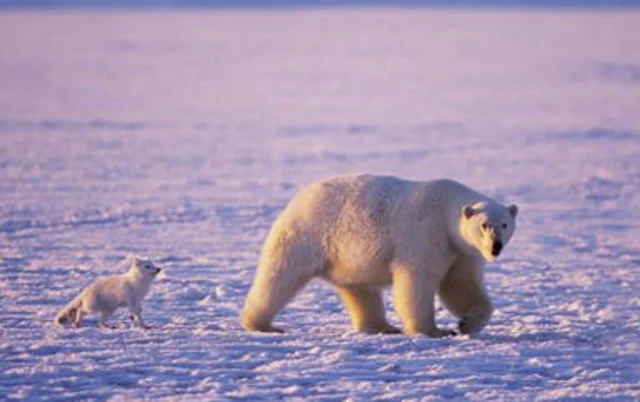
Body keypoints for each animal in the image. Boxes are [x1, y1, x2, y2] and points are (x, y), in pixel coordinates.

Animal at [242, 174, 516, 338]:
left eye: (504, 224)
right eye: (484, 225)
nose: (495, 247)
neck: (446, 207)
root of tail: (299, 198)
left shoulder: (460, 251)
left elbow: (460, 285)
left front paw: (466, 323)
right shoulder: (425, 234)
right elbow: (417, 282)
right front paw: (433, 330)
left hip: (347, 257)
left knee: (360, 289)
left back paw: (381, 326)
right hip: (308, 234)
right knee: (280, 276)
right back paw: (262, 324)